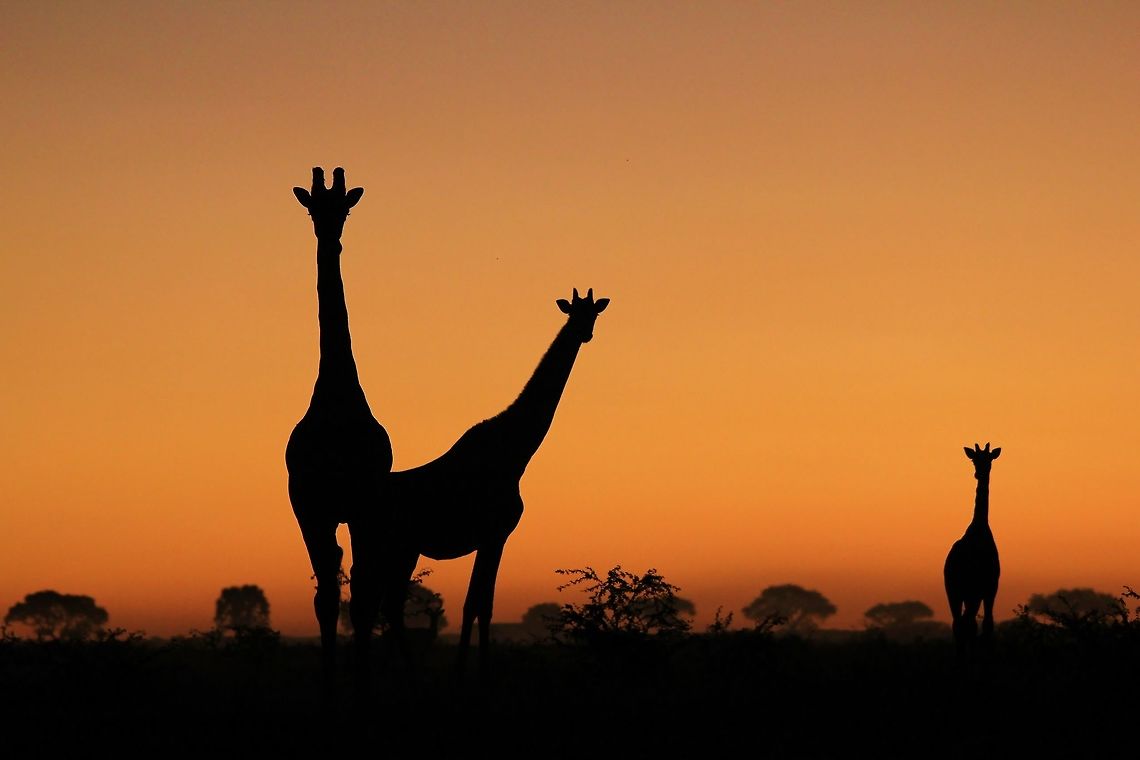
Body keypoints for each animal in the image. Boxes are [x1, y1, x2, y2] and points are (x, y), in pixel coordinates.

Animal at [352, 288, 609, 679]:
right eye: (573, 313)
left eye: (593, 313)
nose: (585, 333)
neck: (515, 452)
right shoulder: (495, 534)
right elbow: (478, 605)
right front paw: (474, 670)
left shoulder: (493, 538)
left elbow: (478, 603)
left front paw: (468, 667)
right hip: (390, 547)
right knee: (374, 605)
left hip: (397, 549)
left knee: (379, 605)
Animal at [944, 442, 1002, 658]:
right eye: (973, 459)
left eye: (989, 459)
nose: (979, 473)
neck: (979, 528)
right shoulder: (990, 586)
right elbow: (987, 625)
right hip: (967, 590)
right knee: (966, 623)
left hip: (954, 589)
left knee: (959, 623)